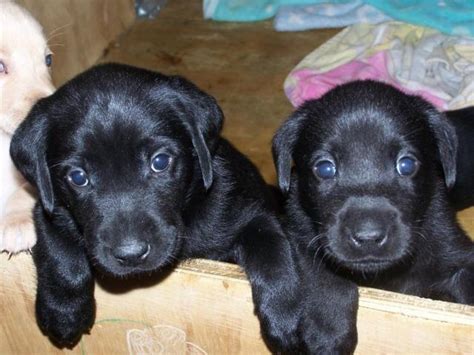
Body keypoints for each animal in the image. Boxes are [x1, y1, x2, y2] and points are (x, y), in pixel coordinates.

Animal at [9, 63, 356, 354]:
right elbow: (57, 247)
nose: (131, 255)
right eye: (78, 177)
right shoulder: (49, 206)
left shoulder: (251, 213)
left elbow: (272, 249)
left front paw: (287, 316)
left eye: (160, 162)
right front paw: (63, 311)